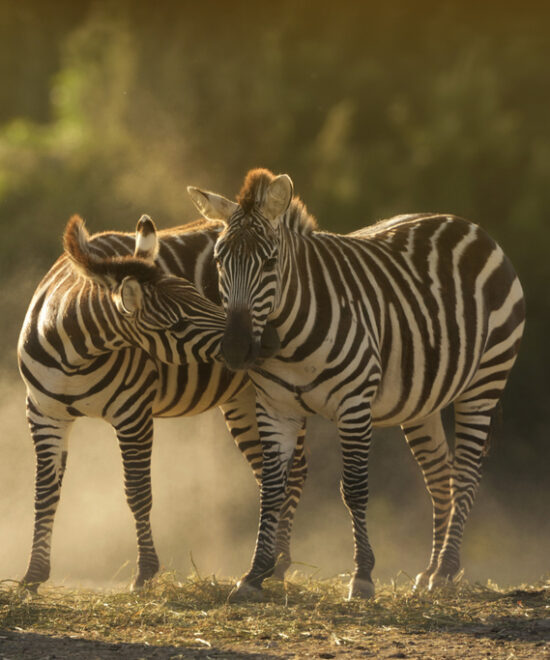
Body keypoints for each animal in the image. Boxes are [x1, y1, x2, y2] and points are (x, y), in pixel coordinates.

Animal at [18, 214, 310, 592]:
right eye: (179, 324)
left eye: (203, 295)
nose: (269, 342)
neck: (75, 355)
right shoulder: (43, 415)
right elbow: (44, 494)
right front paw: (33, 575)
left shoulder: (133, 413)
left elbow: (138, 492)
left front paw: (145, 572)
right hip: (243, 398)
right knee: (268, 472)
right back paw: (271, 560)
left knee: (295, 471)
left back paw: (279, 563)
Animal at [188, 168, 528, 600]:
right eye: (219, 260)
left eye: (270, 261)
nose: (235, 349)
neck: (290, 338)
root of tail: (467, 224)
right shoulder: (275, 408)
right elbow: (271, 489)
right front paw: (254, 574)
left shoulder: (353, 404)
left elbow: (353, 489)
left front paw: (362, 575)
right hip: (423, 400)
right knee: (440, 475)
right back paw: (431, 570)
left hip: (485, 379)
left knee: (466, 471)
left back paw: (446, 571)